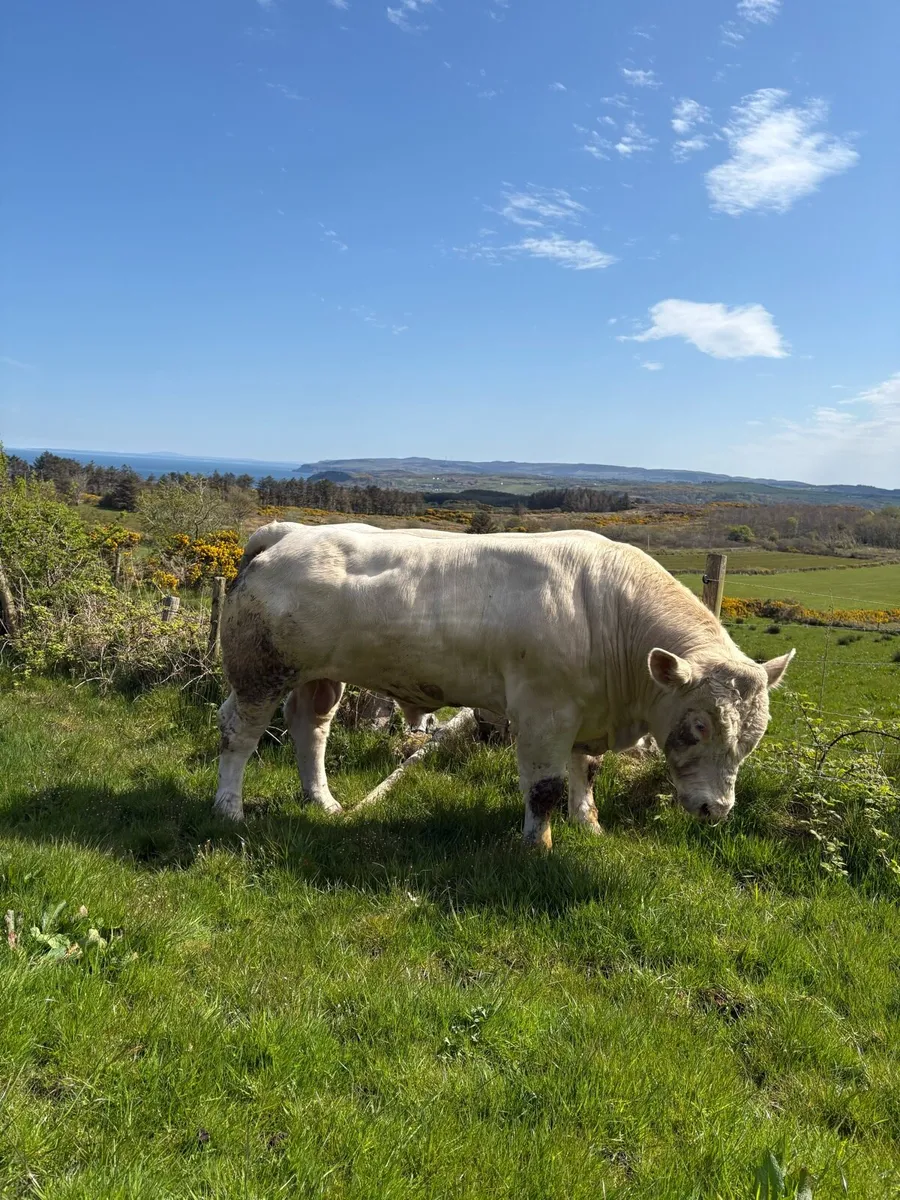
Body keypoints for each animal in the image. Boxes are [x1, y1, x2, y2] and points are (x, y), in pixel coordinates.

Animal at [214, 521, 793, 850]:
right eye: (697, 727)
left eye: (753, 739)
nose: (716, 810)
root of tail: (286, 533)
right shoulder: (543, 712)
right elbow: (544, 787)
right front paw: (538, 846)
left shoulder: (587, 712)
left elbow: (586, 771)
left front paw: (589, 824)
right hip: (258, 672)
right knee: (238, 733)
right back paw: (229, 809)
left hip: (318, 674)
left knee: (310, 727)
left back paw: (323, 801)